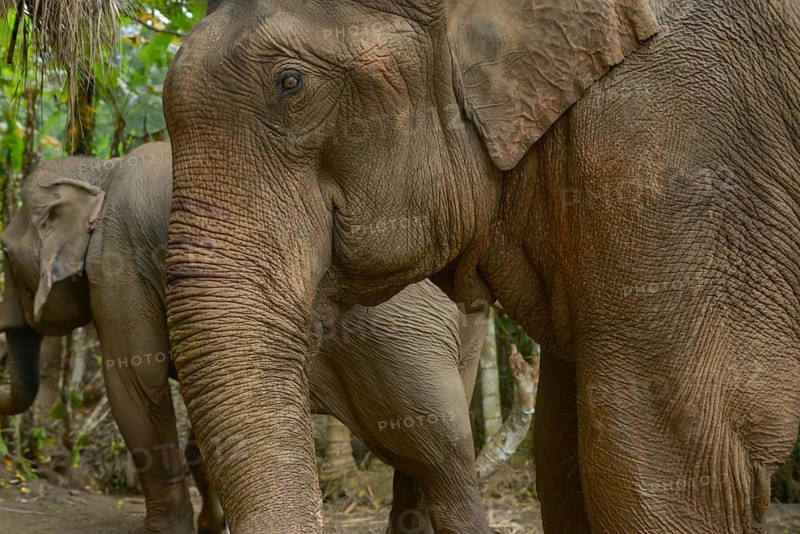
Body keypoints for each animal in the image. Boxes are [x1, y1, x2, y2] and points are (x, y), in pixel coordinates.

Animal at [0, 142, 511, 533]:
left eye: (3, 251)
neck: (101, 168)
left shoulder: (117, 262)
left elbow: (135, 385)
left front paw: (164, 532)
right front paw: (211, 527)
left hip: (398, 335)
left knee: (440, 451)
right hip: (465, 330)